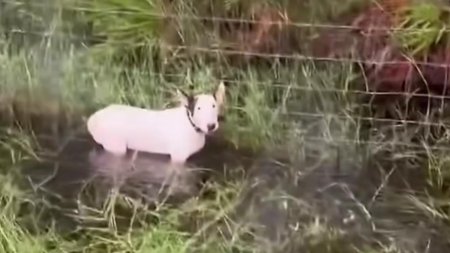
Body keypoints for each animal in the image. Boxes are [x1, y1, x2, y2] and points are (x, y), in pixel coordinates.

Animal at [86, 82, 227, 164]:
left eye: (214, 106)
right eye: (198, 108)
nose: (211, 126)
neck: (191, 125)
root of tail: (94, 118)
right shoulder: (178, 158)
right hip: (116, 145)